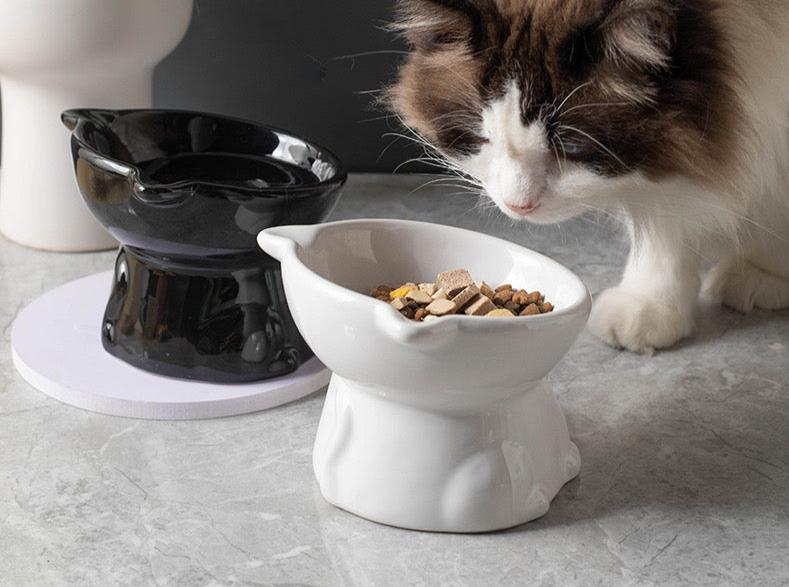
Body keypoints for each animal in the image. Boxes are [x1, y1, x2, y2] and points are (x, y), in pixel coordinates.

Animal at [386, 0, 788, 354]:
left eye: (573, 148)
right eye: (482, 138)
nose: (518, 206)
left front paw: (763, 273)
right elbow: (666, 224)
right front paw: (649, 302)